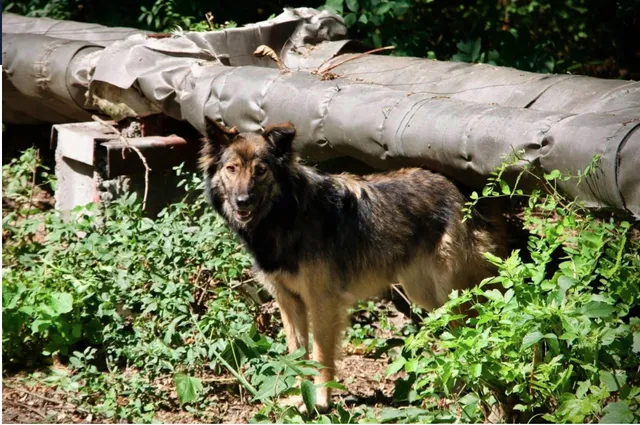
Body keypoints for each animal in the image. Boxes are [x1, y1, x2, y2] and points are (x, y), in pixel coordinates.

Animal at [198, 117, 508, 412]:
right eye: (231, 169)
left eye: (260, 170)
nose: (242, 201)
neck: (285, 214)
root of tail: (461, 193)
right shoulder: (288, 301)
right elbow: (297, 355)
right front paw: (300, 399)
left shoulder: (322, 301)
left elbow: (321, 355)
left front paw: (320, 402)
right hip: (425, 294)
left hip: (451, 294)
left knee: (477, 328)